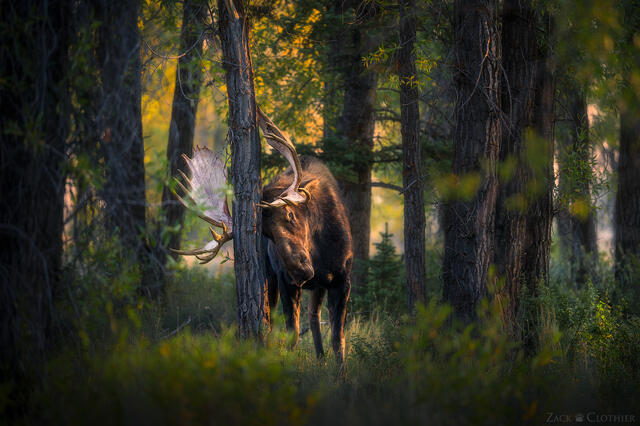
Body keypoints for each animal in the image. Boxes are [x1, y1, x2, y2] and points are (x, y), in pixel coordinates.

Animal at [172, 108, 352, 367]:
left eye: (290, 214)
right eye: (266, 234)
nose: (300, 270)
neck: (319, 252)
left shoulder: (342, 279)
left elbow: (339, 339)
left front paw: (341, 372)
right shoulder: (286, 282)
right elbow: (293, 334)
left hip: (315, 286)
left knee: (314, 316)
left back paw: (320, 357)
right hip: (272, 278)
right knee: (292, 317)